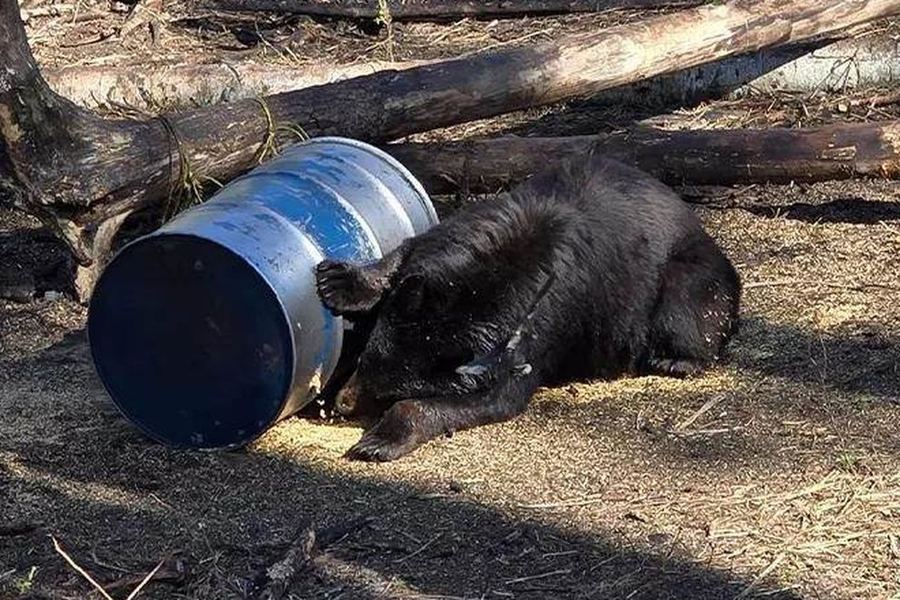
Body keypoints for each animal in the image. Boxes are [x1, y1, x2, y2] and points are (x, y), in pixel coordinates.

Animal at [315, 149, 741, 462]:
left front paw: (376, 442)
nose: (343, 404)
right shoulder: (454, 235)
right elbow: (402, 253)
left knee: (688, 311)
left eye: (387, 391)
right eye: (364, 360)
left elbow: (498, 395)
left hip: (693, 279)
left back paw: (674, 360)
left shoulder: (539, 325)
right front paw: (336, 280)